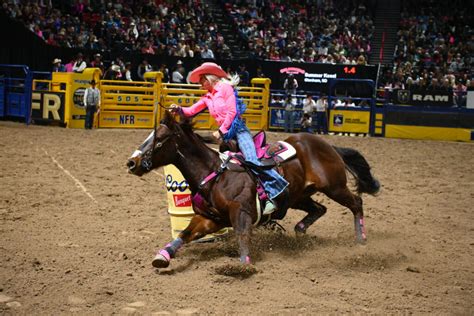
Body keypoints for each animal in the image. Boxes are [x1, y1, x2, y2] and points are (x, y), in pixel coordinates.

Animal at [126, 111, 378, 266]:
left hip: (335, 187)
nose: (131, 163)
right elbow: (185, 234)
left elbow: (242, 236)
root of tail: (327, 144)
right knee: (319, 209)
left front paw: (243, 266)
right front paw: (163, 256)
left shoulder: (242, 212)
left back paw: (361, 240)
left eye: (159, 139)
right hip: (298, 196)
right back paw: (300, 231)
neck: (216, 174)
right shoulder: (211, 219)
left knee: (356, 203)